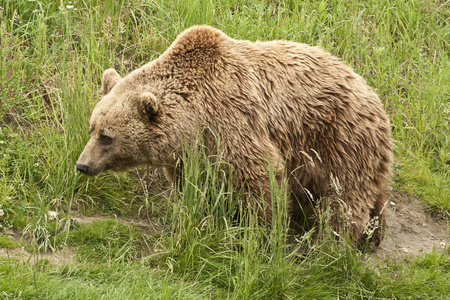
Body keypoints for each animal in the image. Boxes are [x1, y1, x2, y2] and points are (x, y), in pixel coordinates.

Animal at [77, 25, 394, 246]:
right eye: (92, 128)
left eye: (107, 136)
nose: (82, 165)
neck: (193, 119)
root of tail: (372, 92)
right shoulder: (190, 154)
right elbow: (194, 185)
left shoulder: (232, 118)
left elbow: (260, 176)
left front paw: (261, 231)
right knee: (374, 193)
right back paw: (373, 236)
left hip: (338, 137)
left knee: (345, 198)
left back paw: (333, 243)